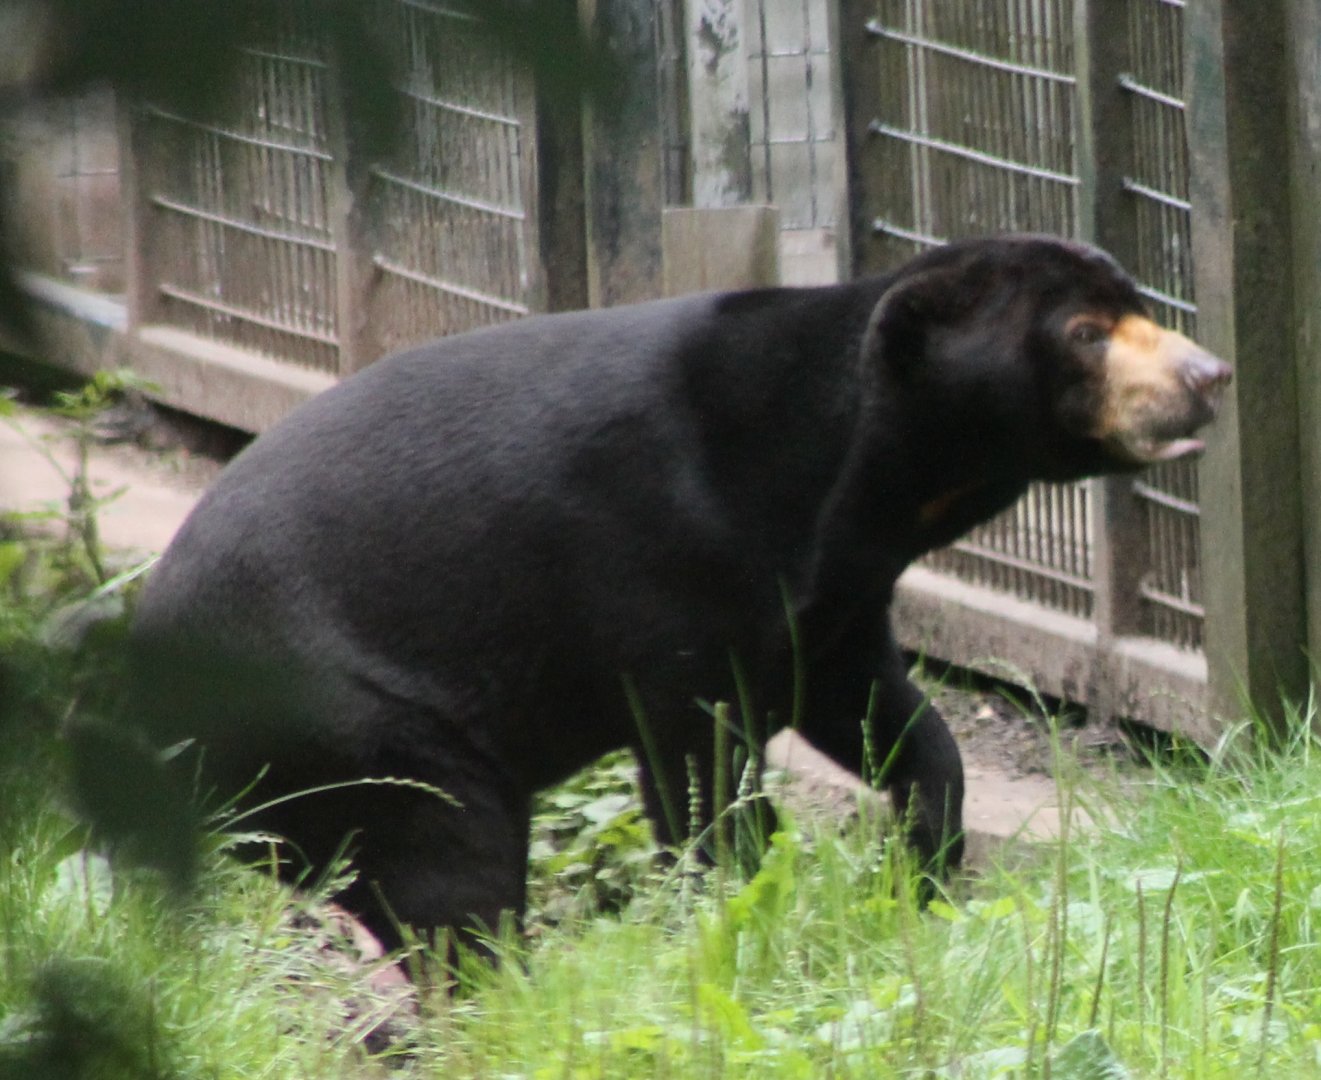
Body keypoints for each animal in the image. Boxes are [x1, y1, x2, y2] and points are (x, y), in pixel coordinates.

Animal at [129, 234, 1230, 956]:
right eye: (1086, 331)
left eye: (1136, 304)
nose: (1209, 372)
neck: (874, 482)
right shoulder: (669, 572)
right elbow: (701, 766)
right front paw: (749, 899)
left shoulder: (829, 600)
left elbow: (881, 716)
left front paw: (918, 863)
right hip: (358, 715)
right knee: (452, 867)